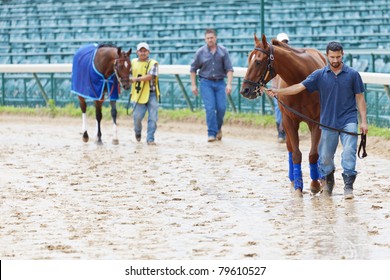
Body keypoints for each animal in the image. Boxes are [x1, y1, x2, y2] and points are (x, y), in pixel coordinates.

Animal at [241, 34, 326, 197]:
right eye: (248, 60)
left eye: (258, 62)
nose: (245, 90)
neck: (300, 81)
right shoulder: (289, 121)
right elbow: (296, 154)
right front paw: (298, 187)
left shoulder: (316, 122)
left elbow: (314, 154)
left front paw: (315, 184)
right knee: (290, 149)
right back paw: (293, 180)